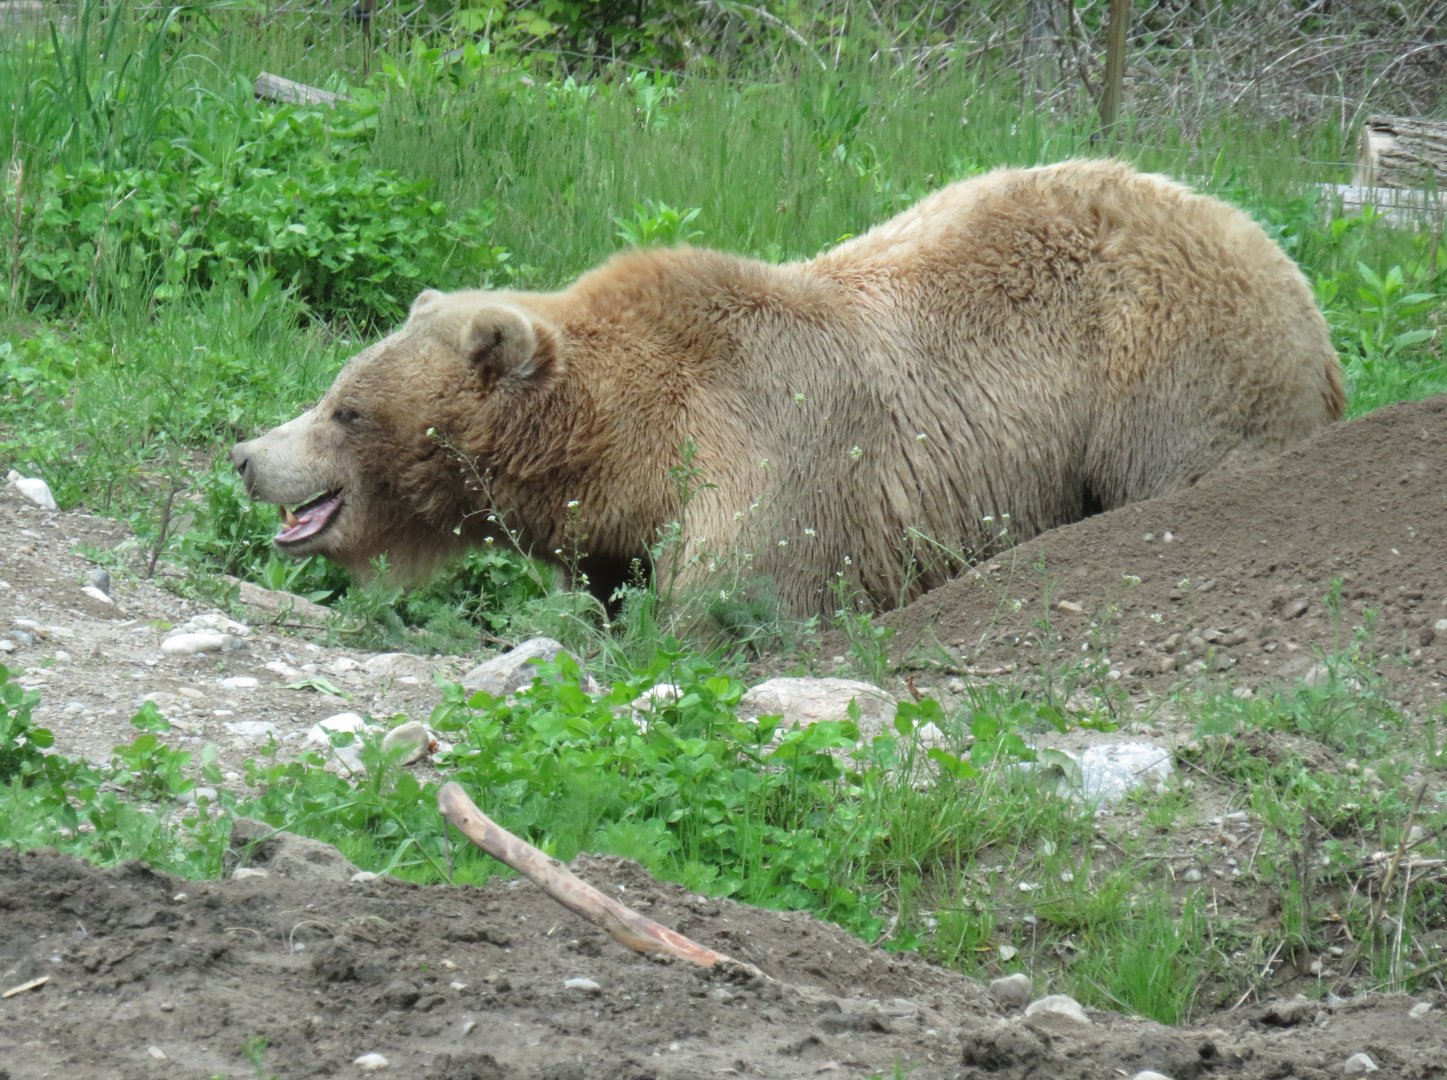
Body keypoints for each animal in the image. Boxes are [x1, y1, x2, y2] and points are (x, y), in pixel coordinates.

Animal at [230, 159, 1345, 618]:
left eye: (345, 409)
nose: (245, 455)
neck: (624, 439)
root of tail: (1286, 265)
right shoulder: (626, 536)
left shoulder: (768, 458)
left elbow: (740, 605)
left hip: (1174, 380)